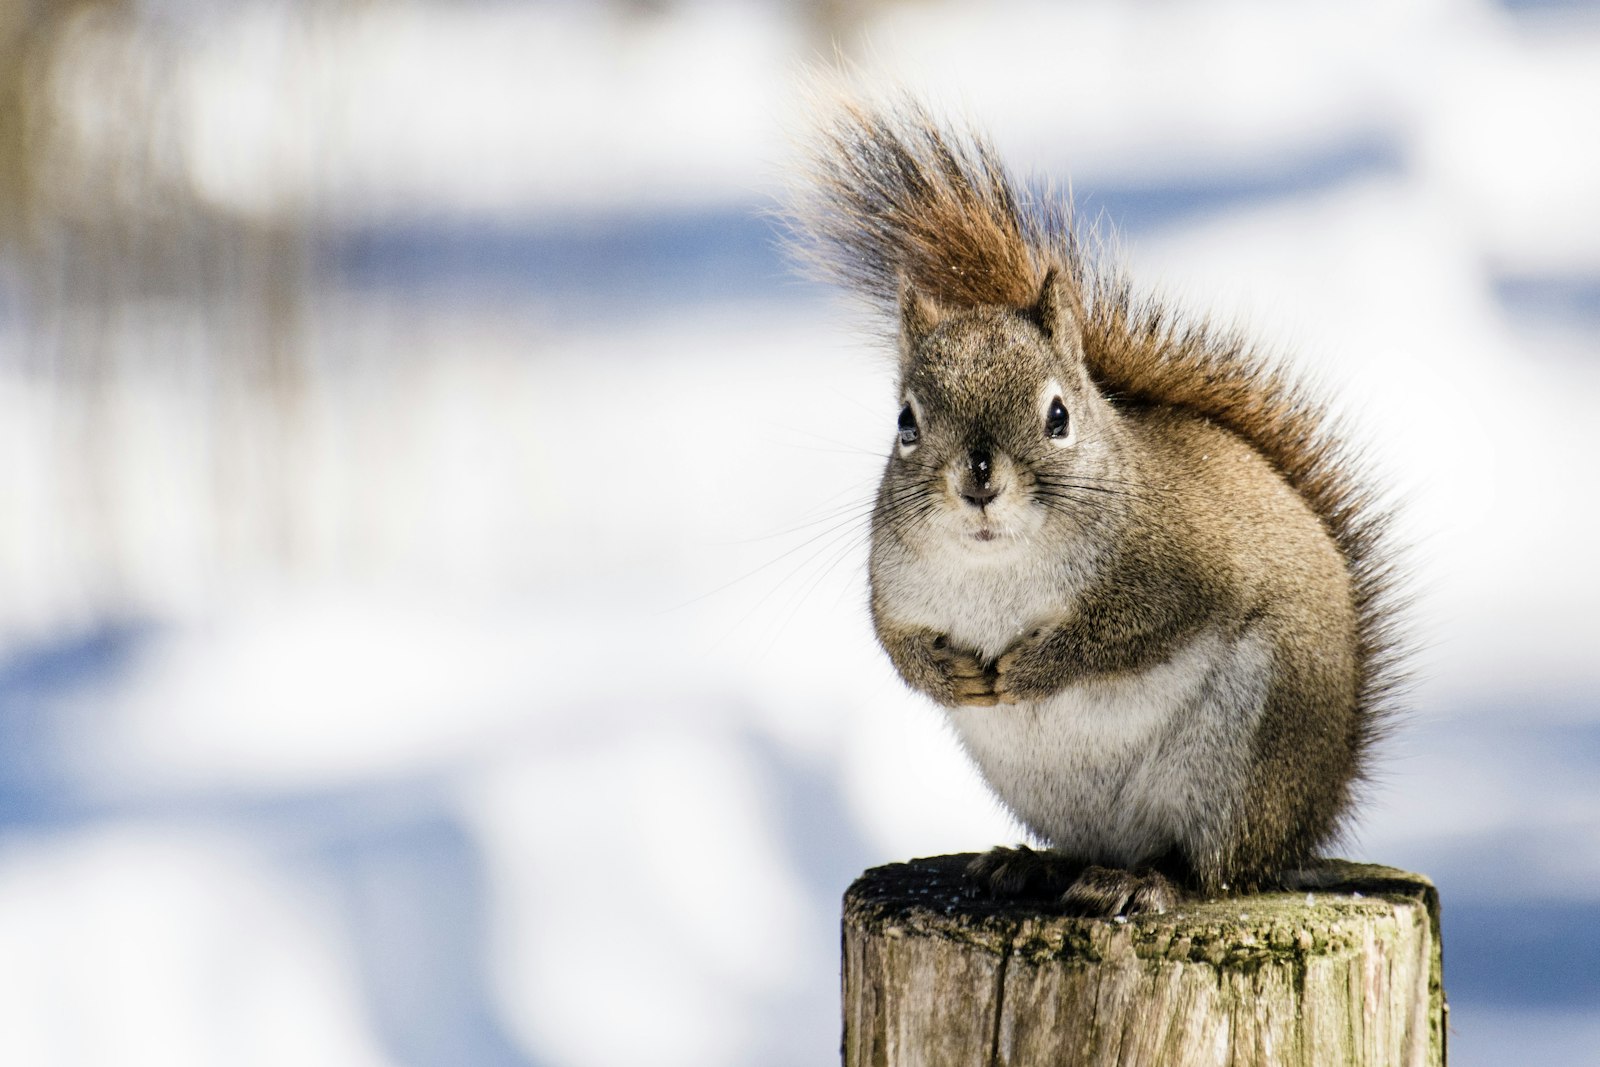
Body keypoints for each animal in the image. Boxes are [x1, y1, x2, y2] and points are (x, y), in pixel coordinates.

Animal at [784, 97, 1401, 921]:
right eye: (906, 422)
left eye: (1058, 416)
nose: (979, 481)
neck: (997, 567)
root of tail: (1310, 816)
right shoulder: (895, 586)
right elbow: (894, 642)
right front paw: (949, 676)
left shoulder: (1182, 570)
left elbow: (1130, 632)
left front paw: (1033, 668)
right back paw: (1031, 865)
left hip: (1249, 761)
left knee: (1210, 867)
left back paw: (1145, 880)